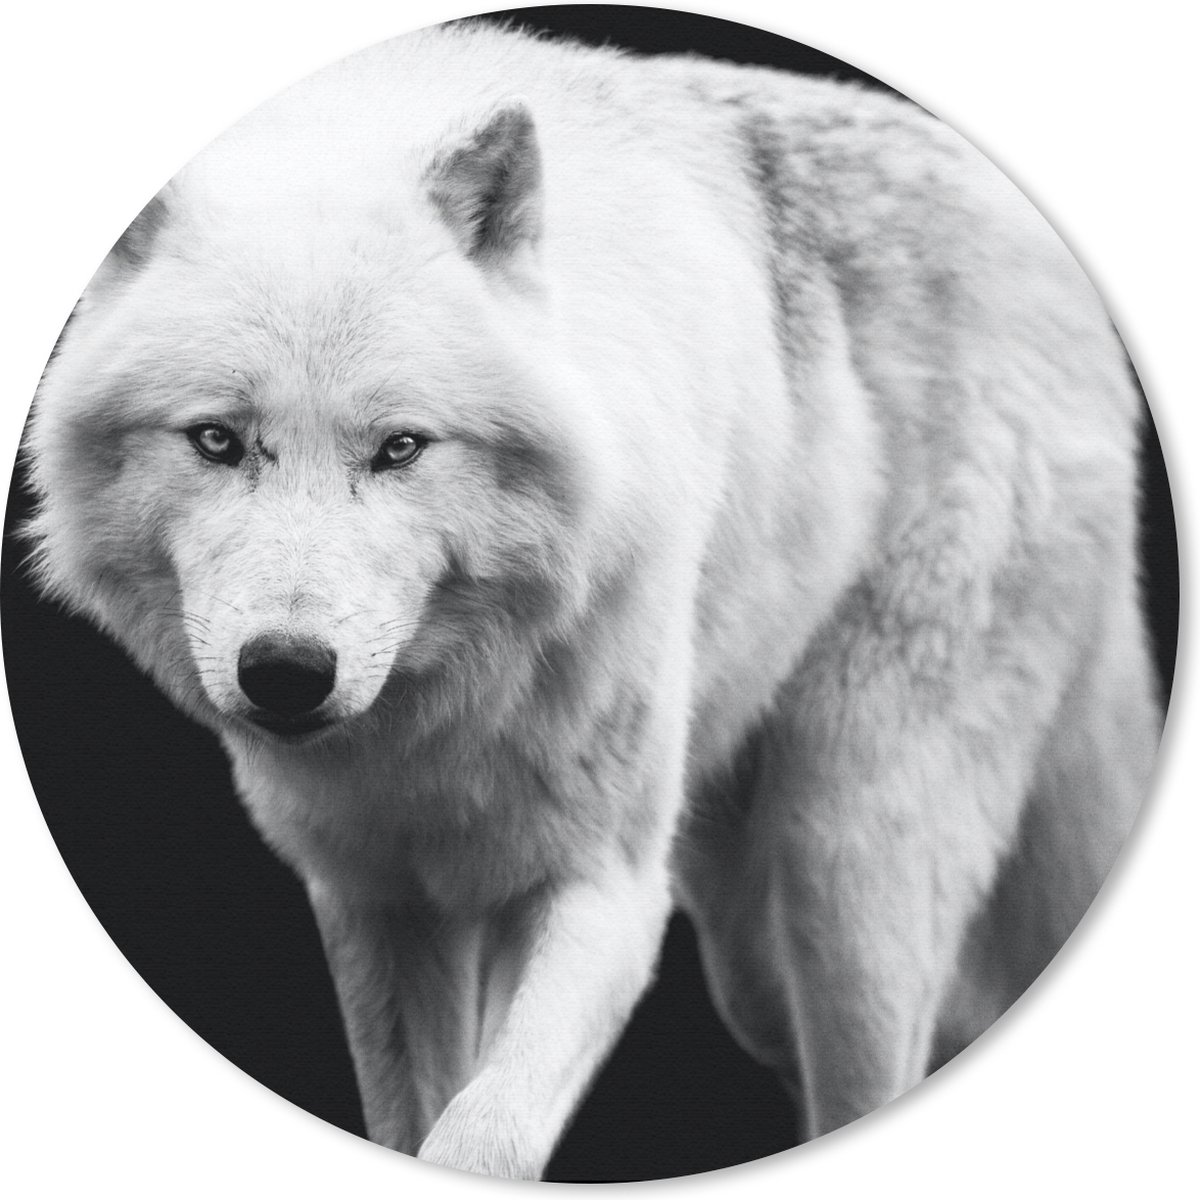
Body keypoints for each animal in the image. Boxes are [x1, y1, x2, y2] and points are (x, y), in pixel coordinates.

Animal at [21, 20, 1162, 1180]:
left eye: (400, 448)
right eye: (217, 439)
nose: (288, 674)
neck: (443, 721)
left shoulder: (605, 888)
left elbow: (483, 1132)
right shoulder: (378, 901)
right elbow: (413, 1113)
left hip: (845, 869)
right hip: (748, 947)